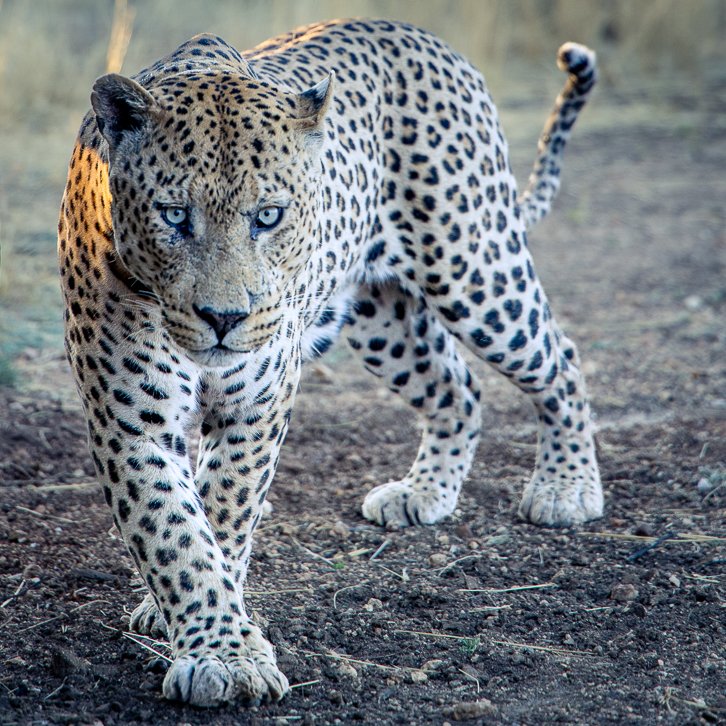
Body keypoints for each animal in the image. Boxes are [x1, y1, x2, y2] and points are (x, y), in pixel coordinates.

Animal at [58, 19, 602, 708]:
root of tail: (425, 37)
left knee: (560, 358)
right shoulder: (130, 420)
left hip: (474, 267)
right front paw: (214, 643)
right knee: (457, 388)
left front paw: (221, 648)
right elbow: (174, 532)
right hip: (382, 316)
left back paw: (566, 488)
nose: (224, 318)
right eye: (174, 216)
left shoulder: (258, 405)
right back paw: (424, 493)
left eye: (268, 216)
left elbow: (223, 512)